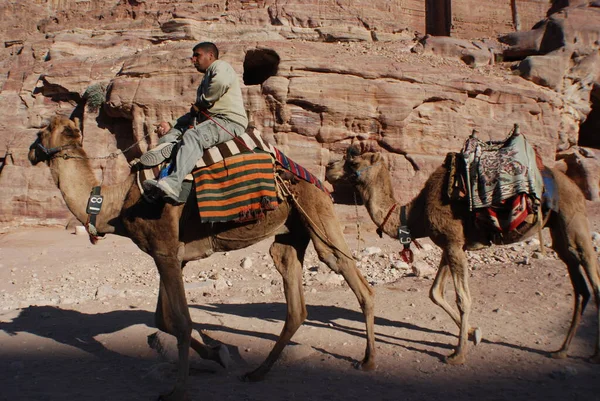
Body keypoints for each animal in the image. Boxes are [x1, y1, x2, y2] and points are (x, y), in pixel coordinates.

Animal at [29, 114, 376, 398]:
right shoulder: (171, 256)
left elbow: (182, 322)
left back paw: (368, 361)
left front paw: (178, 390)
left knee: (353, 277)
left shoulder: (165, 251)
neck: (117, 205)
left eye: (43, 129)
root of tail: (312, 176)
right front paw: (216, 353)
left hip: (318, 213)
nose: (31, 151)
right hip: (291, 233)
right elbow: (163, 319)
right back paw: (257, 372)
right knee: (294, 300)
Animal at [326, 141, 600, 366]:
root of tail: (570, 183)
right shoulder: (450, 245)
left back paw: (591, 355)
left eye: (353, 162)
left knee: (592, 276)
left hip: (574, 219)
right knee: (579, 286)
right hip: (559, 232)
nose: (328, 167)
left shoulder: (453, 243)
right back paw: (561, 350)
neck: (414, 214)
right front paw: (473, 332)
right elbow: (435, 292)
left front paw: (458, 353)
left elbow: (463, 299)